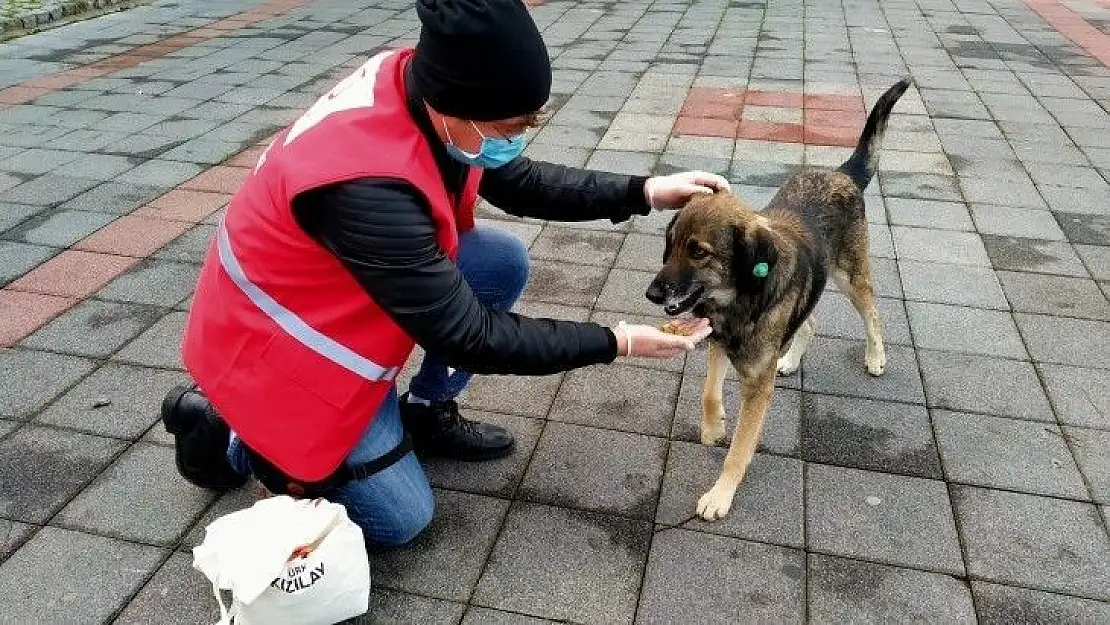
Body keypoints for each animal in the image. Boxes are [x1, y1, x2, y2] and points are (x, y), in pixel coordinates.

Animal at [643, 78, 910, 521]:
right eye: (671, 245)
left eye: (698, 252)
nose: (652, 293)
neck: (738, 301)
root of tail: (843, 173)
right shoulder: (717, 341)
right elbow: (709, 392)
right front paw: (713, 426)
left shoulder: (758, 389)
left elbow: (739, 450)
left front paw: (720, 494)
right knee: (811, 320)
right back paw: (791, 358)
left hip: (851, 276)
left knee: (873, 312)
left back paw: (875, 356)